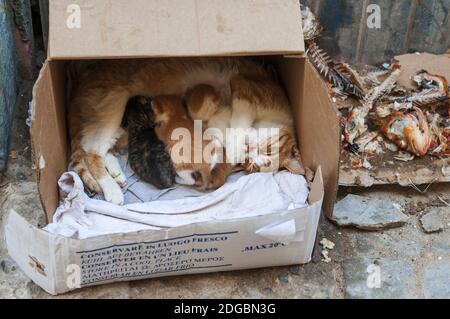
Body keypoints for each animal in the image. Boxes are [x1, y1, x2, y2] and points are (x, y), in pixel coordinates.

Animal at [68, 57, 304, 205]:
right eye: (267, 150)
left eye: (252, 165)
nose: (248, 148)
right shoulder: (245, 90)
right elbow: (238, 120)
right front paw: (234, 146)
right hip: (113, 107)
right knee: (91, 152)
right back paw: (112, 190)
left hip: (123, 126)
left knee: (99, 148)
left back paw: (116, 173)